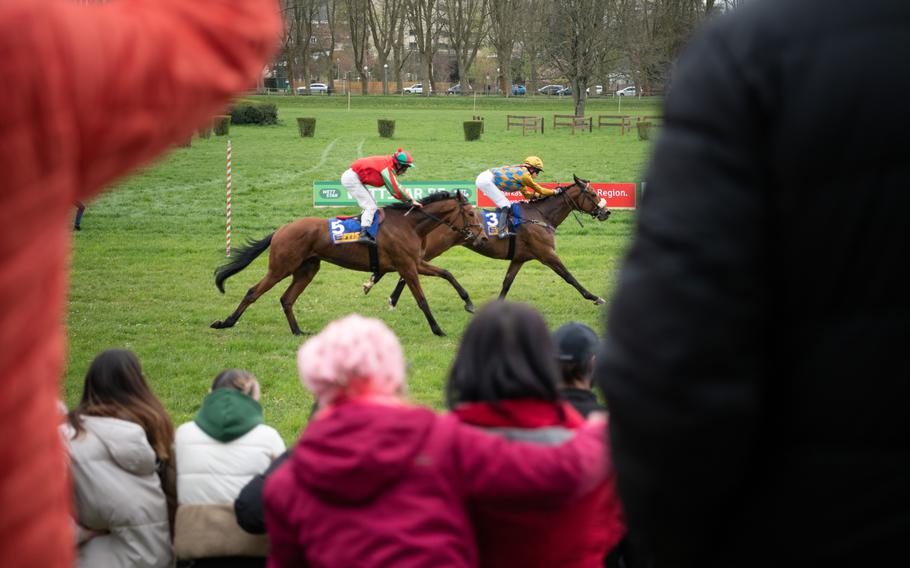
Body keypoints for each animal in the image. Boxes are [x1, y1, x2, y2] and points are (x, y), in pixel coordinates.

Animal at [212, 191, 484, 336]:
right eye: (471, 213)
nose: (481, 236)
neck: (410, 225)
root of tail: (281, 230)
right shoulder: (407, 266)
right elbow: (422, 299)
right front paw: (437, 329)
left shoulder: (415, 263)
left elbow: (447, 273)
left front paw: (469, 303)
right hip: (281, 267)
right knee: (253, 292)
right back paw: (226, 322)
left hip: (307, 269)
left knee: (286, 299)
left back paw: (298, 331)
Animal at [366, 176, 616, 308]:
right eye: (592, 194)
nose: (606, 212)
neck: (540, 216)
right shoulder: (547, 254)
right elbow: (569, 277)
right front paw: (595, 297)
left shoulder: (519, 258)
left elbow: (507, 282)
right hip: (434, 247)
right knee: (406, 270)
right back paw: (384, 292)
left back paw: (379, 288)